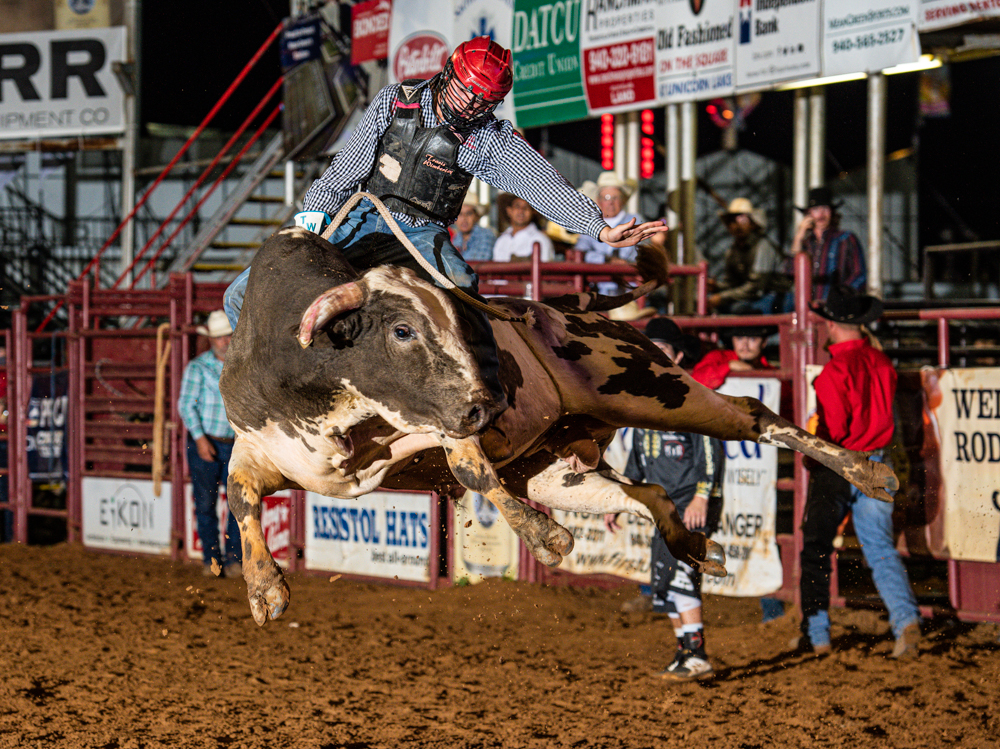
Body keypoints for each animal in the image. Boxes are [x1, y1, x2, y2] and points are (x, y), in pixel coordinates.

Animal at [221, 228, 900, 624]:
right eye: (402, 329)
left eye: (457, 323)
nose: (484, 404)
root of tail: (584, 310)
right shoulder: (266, 449)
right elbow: (238, 494)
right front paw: (264, 589)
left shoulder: (433, 426)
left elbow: (469, 465)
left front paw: (544, 538)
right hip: (557, 470)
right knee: (649, 492)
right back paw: (691, 547)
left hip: (653, 388)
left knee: (754, 416)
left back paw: (872, 474)